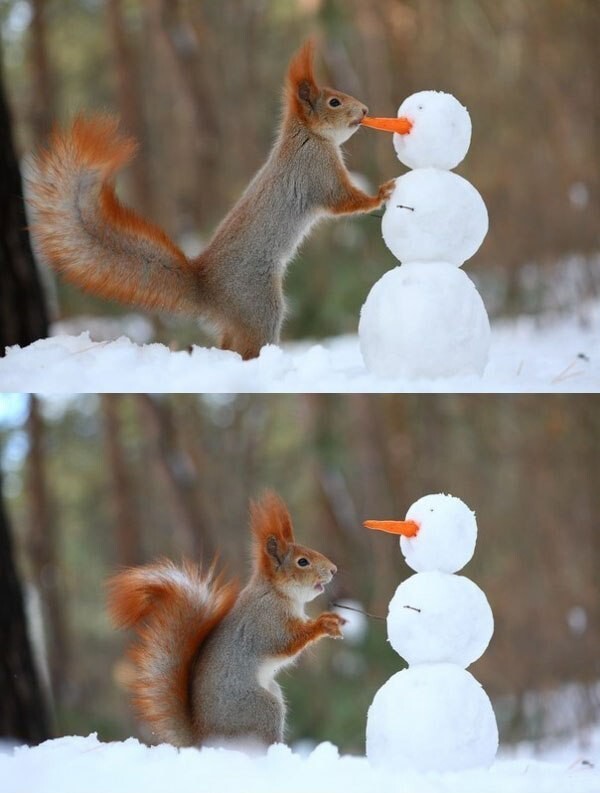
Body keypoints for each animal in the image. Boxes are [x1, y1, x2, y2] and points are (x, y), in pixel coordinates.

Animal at [28, 40, 394, 356]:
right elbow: (342, 202)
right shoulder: (317, 172)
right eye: (334, 102)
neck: (307, 136)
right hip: (258, 305)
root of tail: (206, 288)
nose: (365, 110)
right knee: (246, 347)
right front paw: (381, 194)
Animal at [105, 488, 344, 748]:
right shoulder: (266, 621)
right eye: (302, 562)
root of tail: (204, 739)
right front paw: (324, 624)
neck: (276, 592)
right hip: (261, 709)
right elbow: (285, 642)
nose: (334, 570)